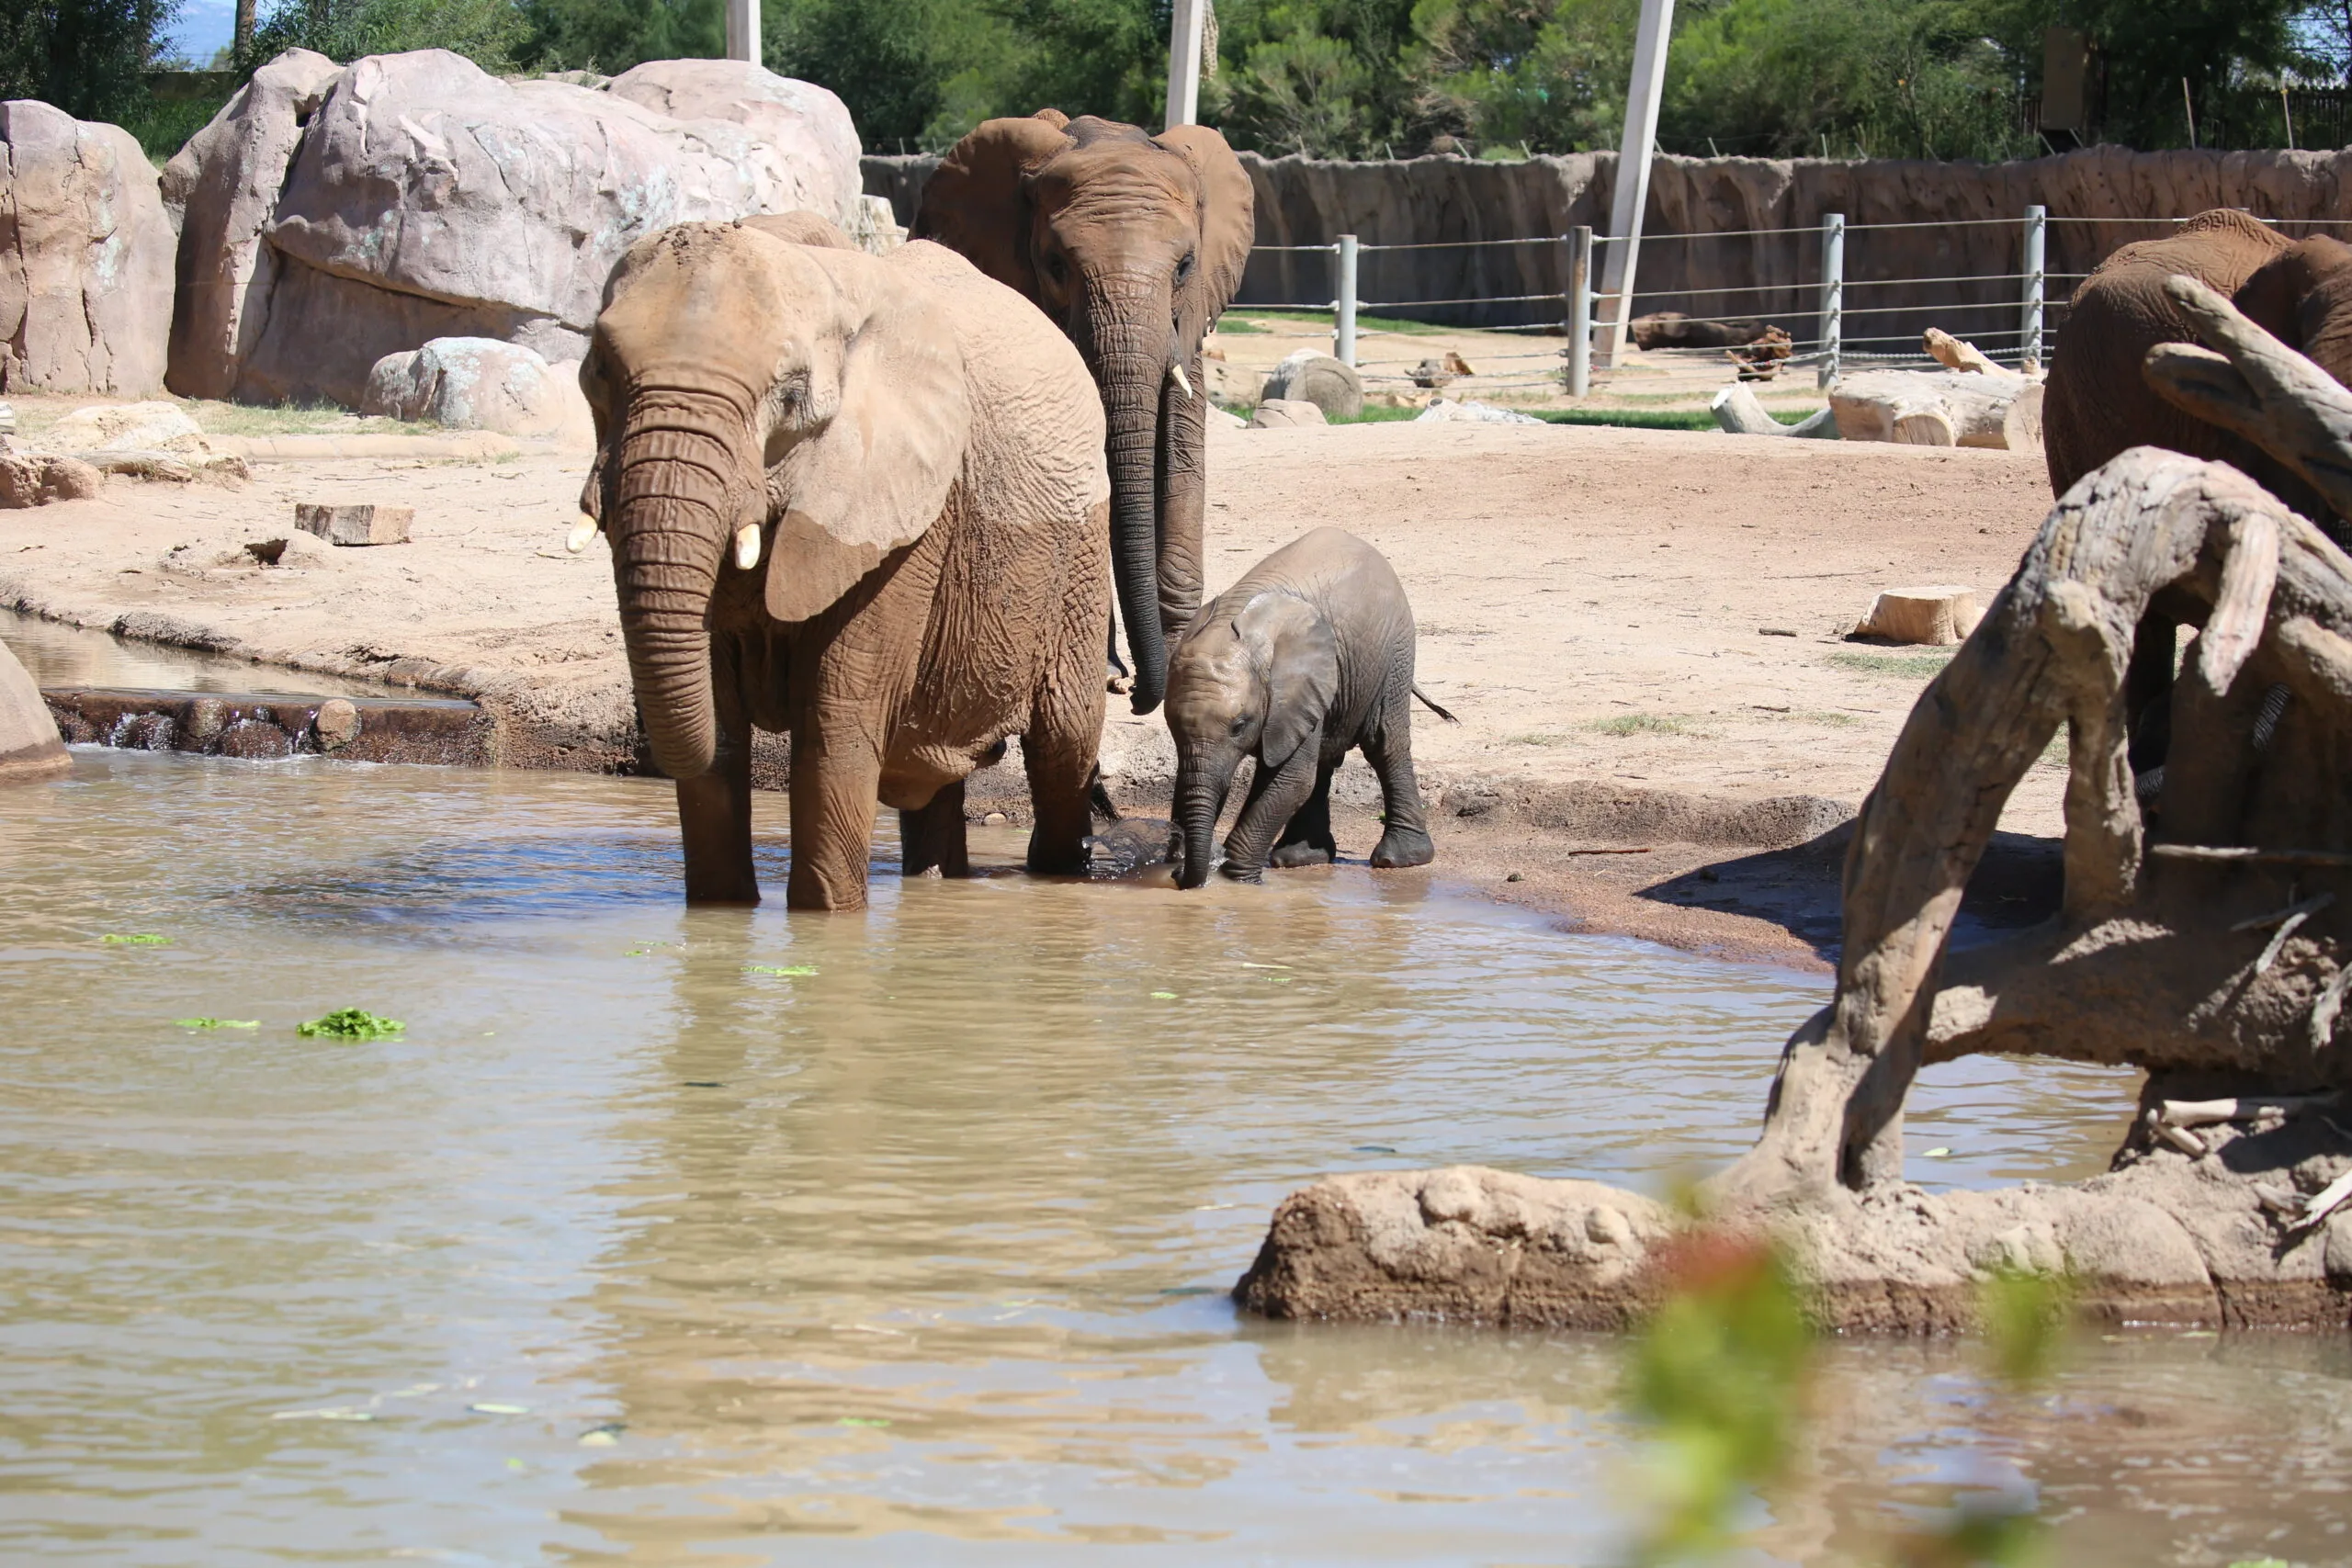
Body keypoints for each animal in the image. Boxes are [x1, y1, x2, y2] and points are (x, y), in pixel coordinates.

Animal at [576, 215, 1110, 911]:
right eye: (598, 371)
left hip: (1080, 556)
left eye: (791, 394)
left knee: (1065, 743)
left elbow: (836, 728)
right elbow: (721, 729)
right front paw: (721, 917)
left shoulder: (908, 517)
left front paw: (824, 919)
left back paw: (1060, 877)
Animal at [908, 110, 1261, 719]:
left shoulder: (1189, 323)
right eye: (1055, 265)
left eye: (1185, 266)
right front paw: (1108, 674)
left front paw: (1179, 654)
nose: (1143, 698)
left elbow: (1181, 456)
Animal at [1161, 526, 1439, 888]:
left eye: (1239, 726)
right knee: (1326, 755)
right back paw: (1299, 858)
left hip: (1395, 648)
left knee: (1384, 743)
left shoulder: (1295, 688)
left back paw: (1398, 859)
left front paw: (1236, 878)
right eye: (1172, 728)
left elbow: (1291, 778)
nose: (1178, 875)